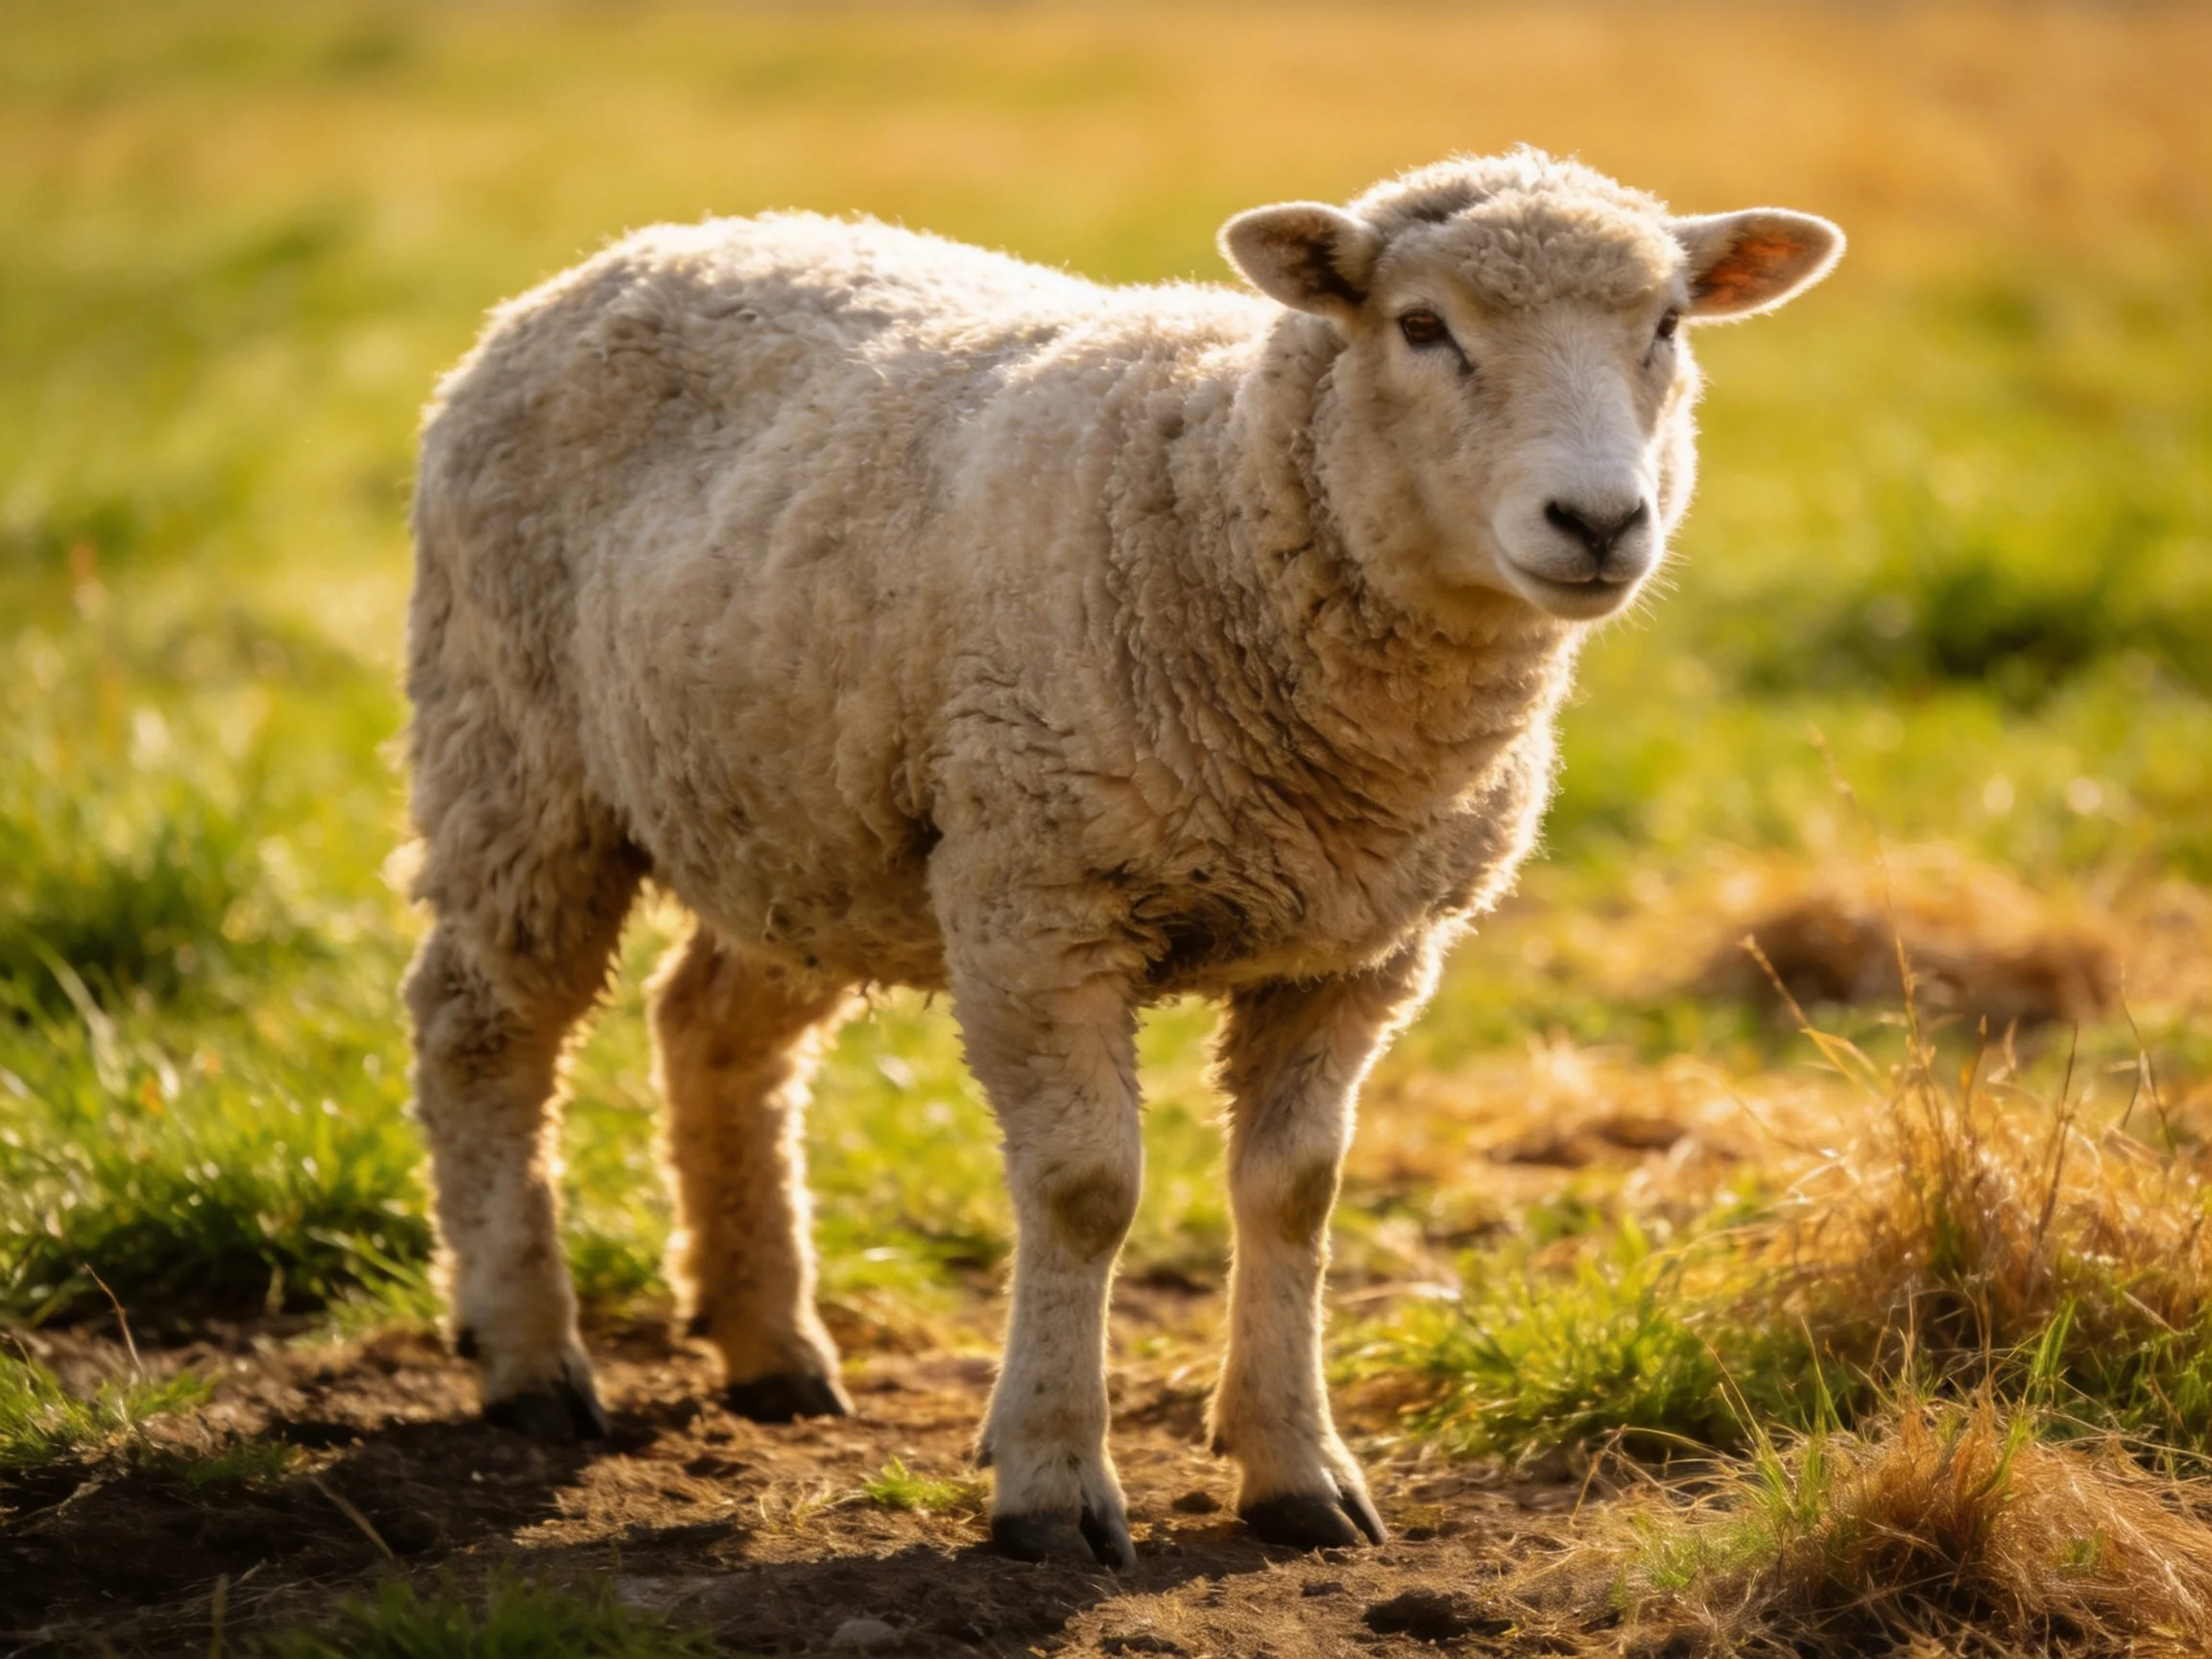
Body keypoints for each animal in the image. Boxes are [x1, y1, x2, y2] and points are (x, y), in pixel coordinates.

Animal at [402, 147, 1841, 1568]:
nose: (1598, 521)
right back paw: (529, 1358)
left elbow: (1296, 1194)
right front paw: (1050, 1480)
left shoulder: (1358, 948)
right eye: (1423, 327)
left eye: (1667, 326)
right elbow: (1086, 1191)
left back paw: (771, 1348)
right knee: (484, 1029)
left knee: (711, 1029)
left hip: (802, 821)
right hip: (515, 752)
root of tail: (648, 245)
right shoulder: (1038, 903)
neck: (1216, 496)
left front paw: (1296, 1469)